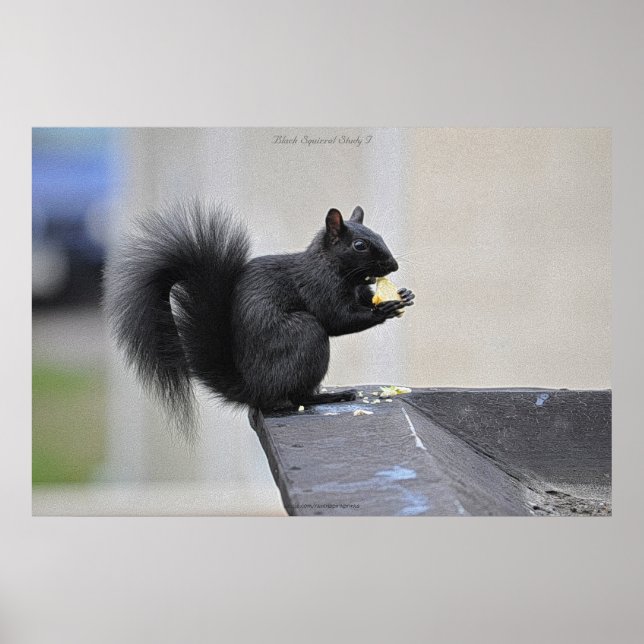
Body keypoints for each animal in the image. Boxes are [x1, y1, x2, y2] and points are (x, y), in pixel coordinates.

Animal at [105, 199, 414, 435]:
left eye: (379, 236)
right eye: (360, 245)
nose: (393, 265)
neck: (332, 266)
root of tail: (253, 389)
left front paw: (404, 294)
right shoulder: (318, 286)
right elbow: (337, 319)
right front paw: (383, 309)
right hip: (305, 335)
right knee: (299, 395)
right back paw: (330, 396)